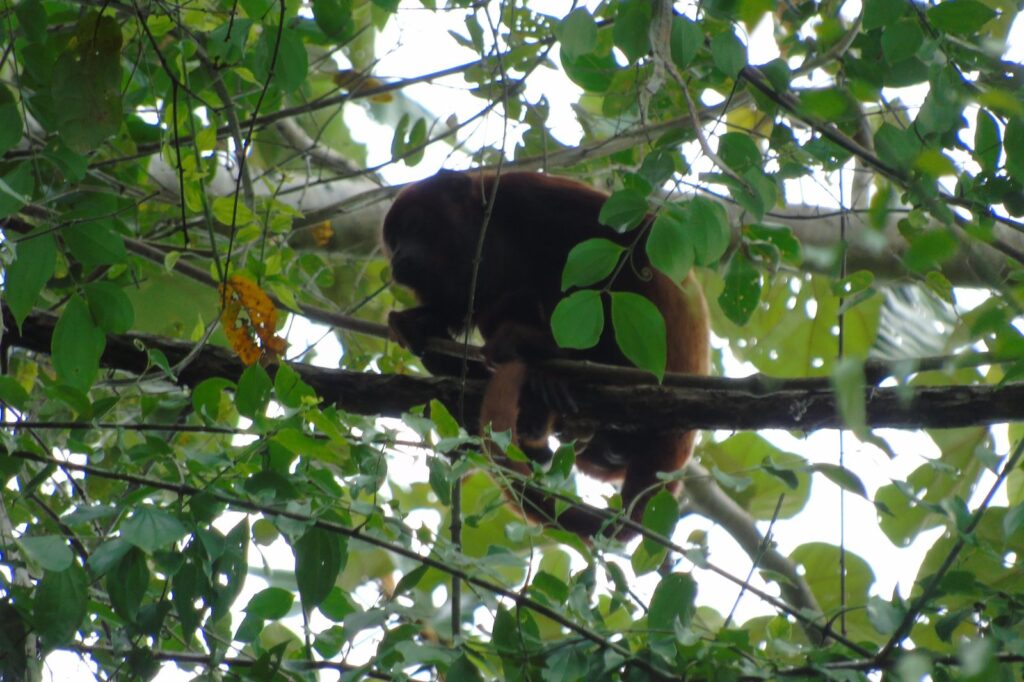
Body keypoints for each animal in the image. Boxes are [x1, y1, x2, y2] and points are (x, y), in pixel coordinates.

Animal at [382, 169, 710, 540]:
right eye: (392, 242)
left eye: (412, 225)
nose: (396, 258)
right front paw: (419, 323)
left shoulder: (529, 194)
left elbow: (623, 245)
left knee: (573, 274)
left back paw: (548, 362)